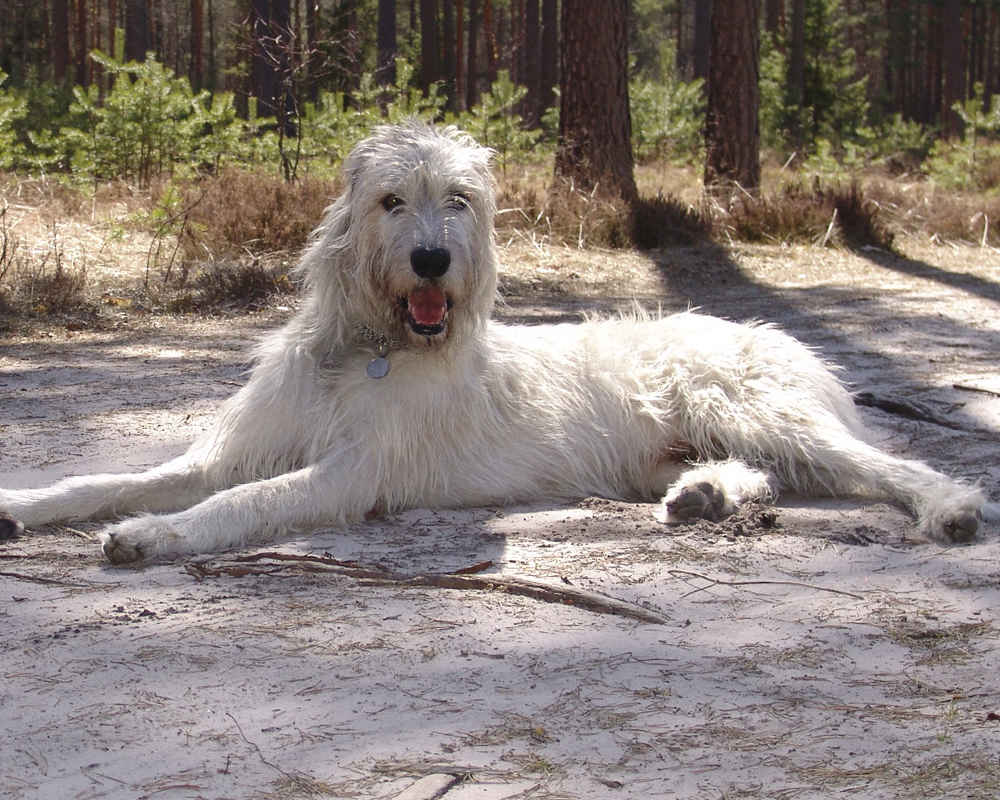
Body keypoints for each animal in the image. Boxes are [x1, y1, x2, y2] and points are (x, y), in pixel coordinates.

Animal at [0, 125, 996, 564]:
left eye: (462, 202)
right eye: (391, 201)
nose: (434, 260)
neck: (366, 345)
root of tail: (788, 343)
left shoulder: (351, 475)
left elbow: (244, 502)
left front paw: (153, 535)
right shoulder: (230, 449)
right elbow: (121, 478)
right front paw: (27, 502)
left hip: (754, 406)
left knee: (886, 467)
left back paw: (949, 508)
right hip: (698, 440)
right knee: (764, 475)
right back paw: (706, 497)